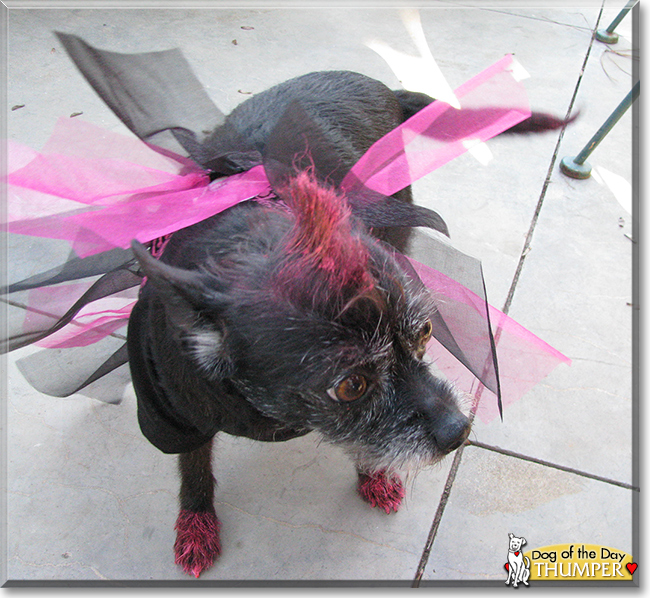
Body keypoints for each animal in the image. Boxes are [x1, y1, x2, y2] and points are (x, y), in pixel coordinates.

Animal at [125, 69, 560, 576]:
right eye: (351, 385)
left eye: (426, 331)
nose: (459, 432)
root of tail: (381, 86)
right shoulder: (171, 412)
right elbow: (192, 470)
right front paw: (196, 524)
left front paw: (374, 474)